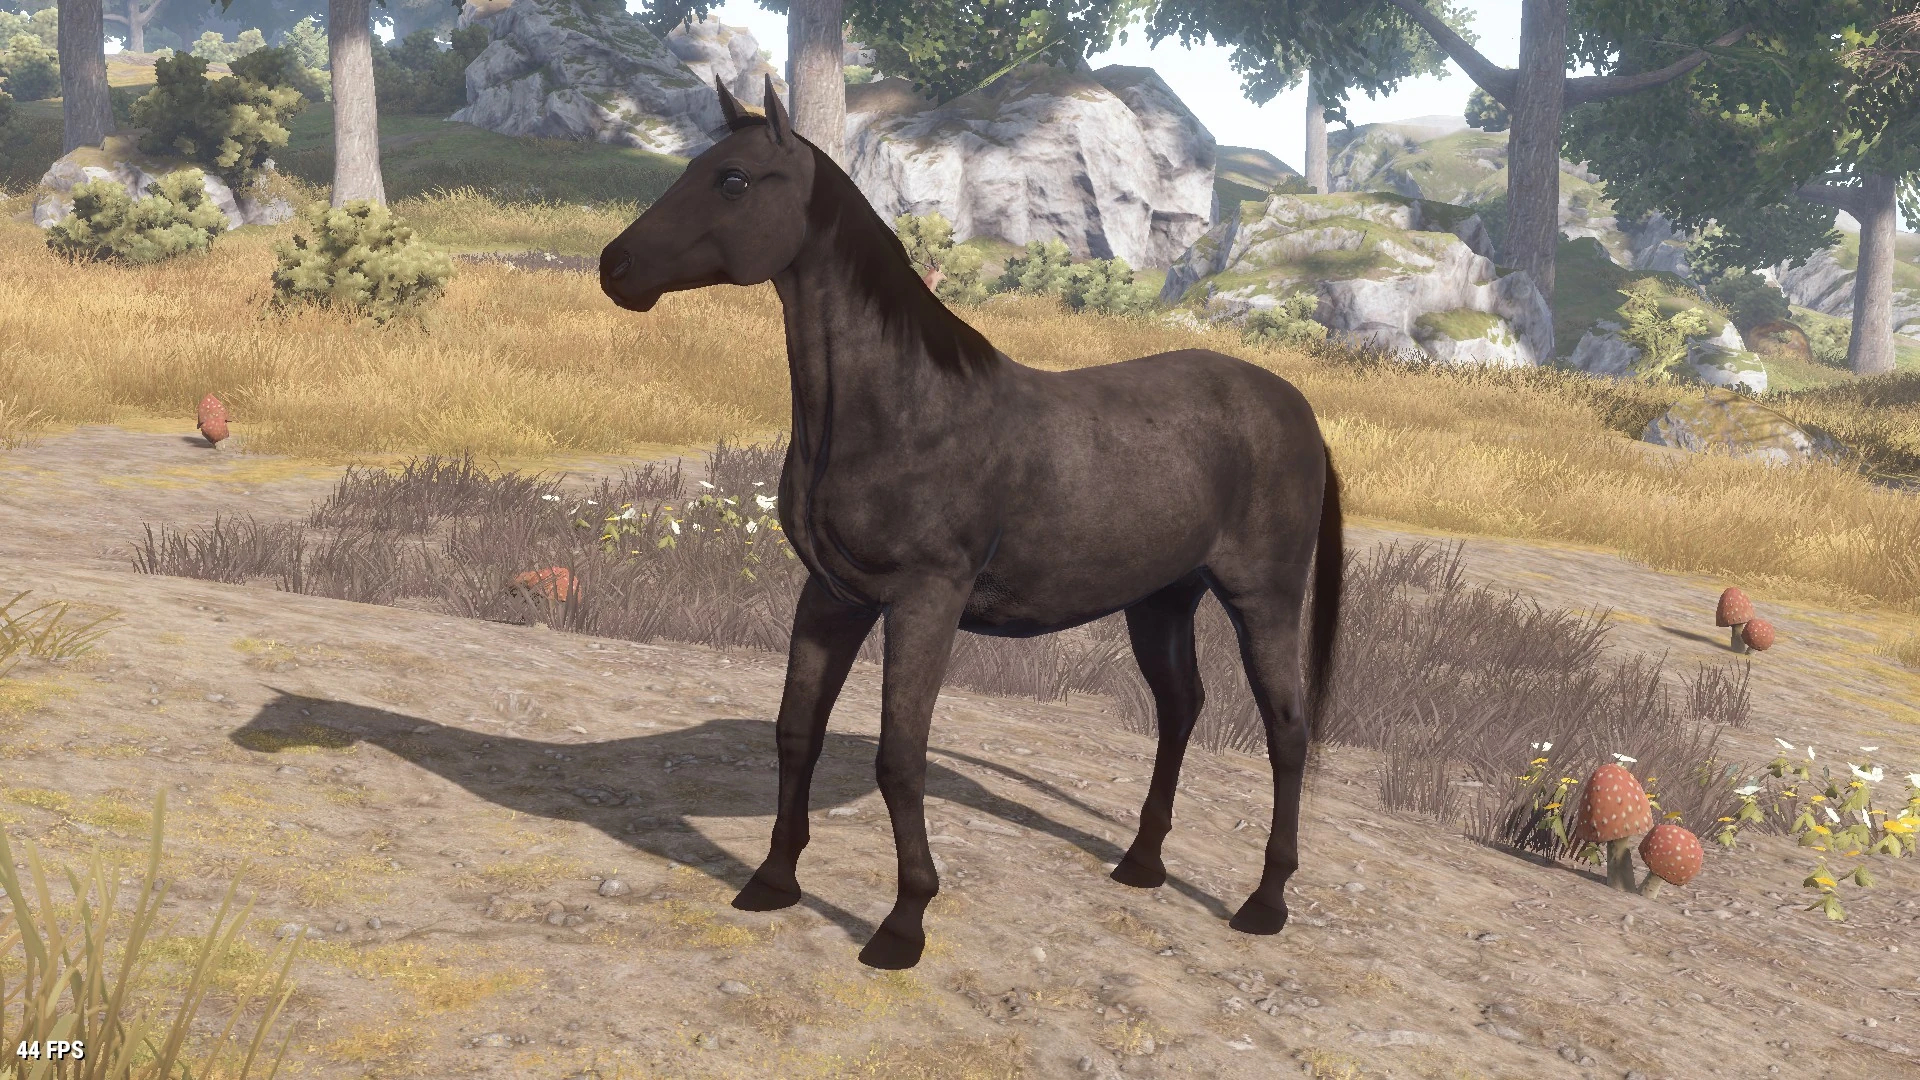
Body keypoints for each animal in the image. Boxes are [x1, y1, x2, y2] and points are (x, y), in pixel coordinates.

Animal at [600, 75, 1343, 970]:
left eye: (734, 180)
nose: (614, 267)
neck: (901, 407)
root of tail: (1297, 408)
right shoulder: (832, 597)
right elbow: (795, 732)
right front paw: (772, 883)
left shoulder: (926, 602)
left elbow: (900, 756)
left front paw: (902, 924)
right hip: (1162, 598)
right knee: (1181, 708)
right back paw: (1140, 864)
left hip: (1262, 598)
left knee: (1287, 729)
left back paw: (1264, 903)